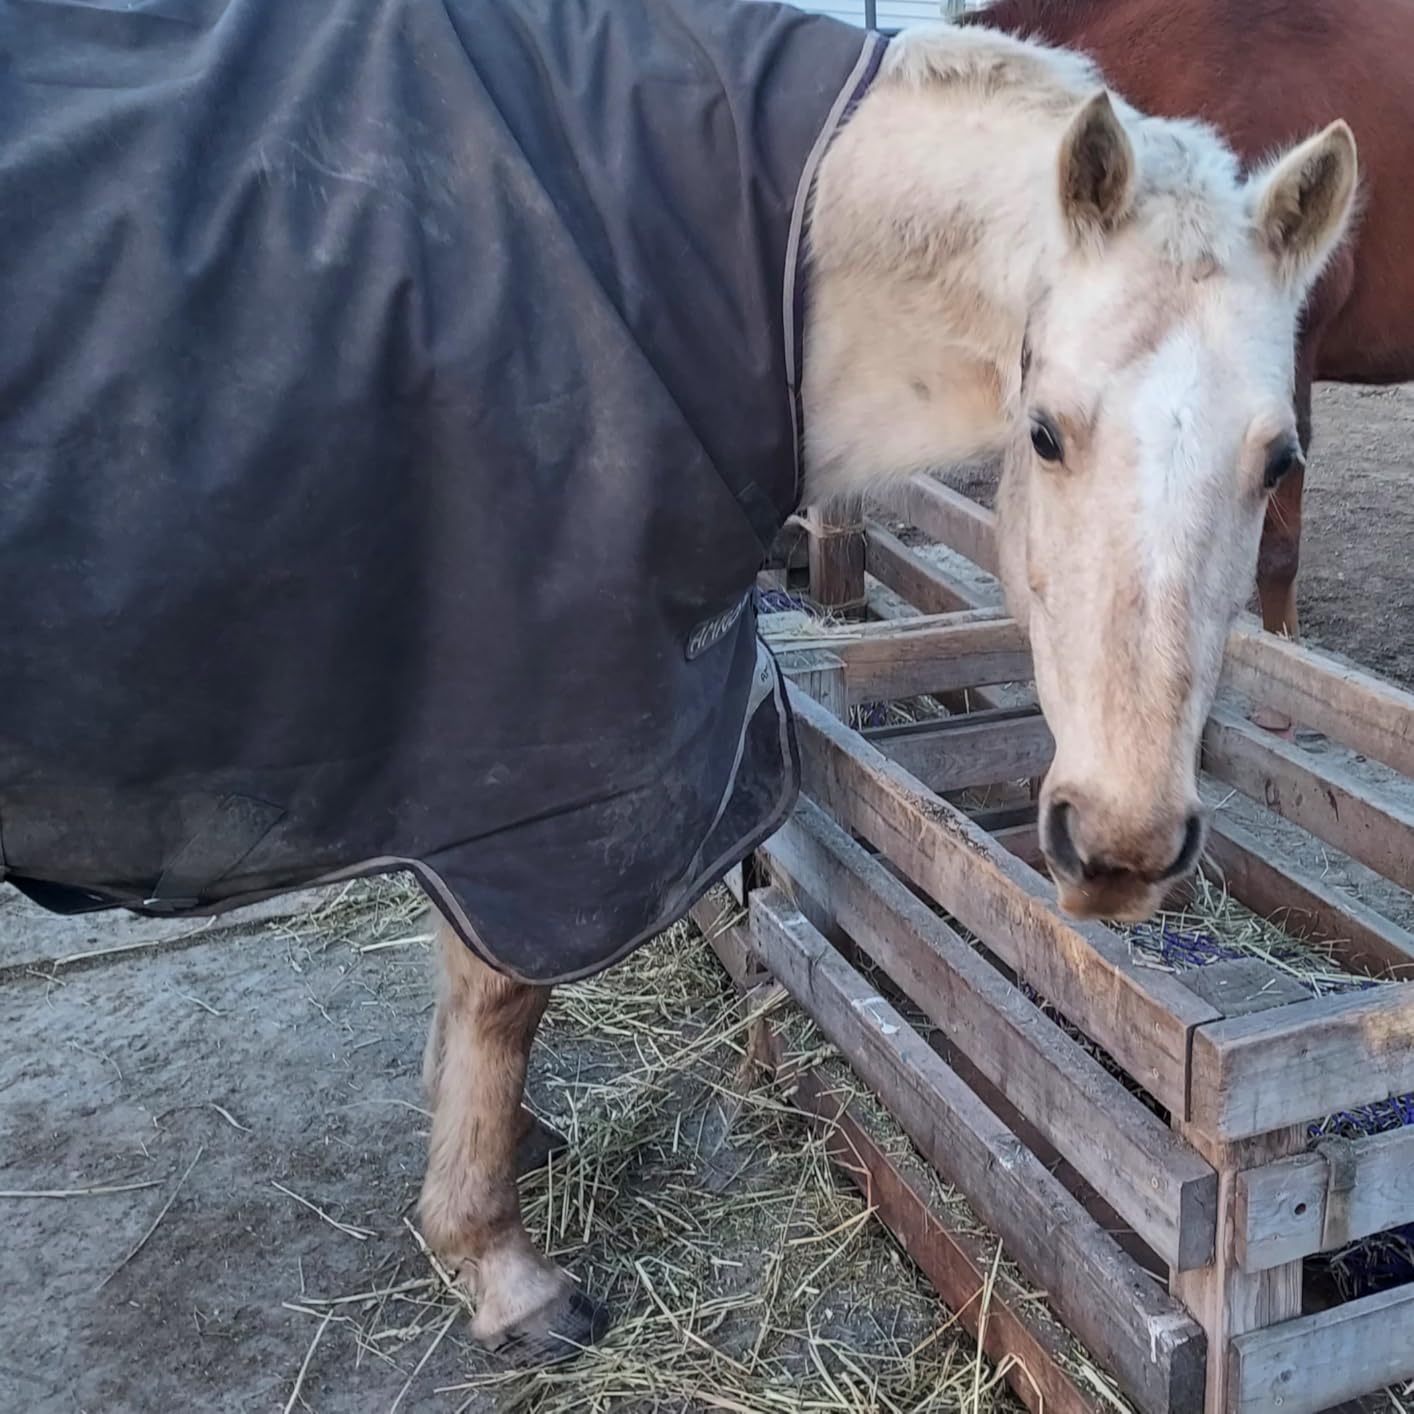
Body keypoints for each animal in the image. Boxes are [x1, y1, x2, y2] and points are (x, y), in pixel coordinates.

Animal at [0, 0, 1354, 1364]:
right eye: (1042, 431)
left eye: (1279, 458)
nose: (1122, 846)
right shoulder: (539, 764)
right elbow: (500, 989)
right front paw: (499, 1266)